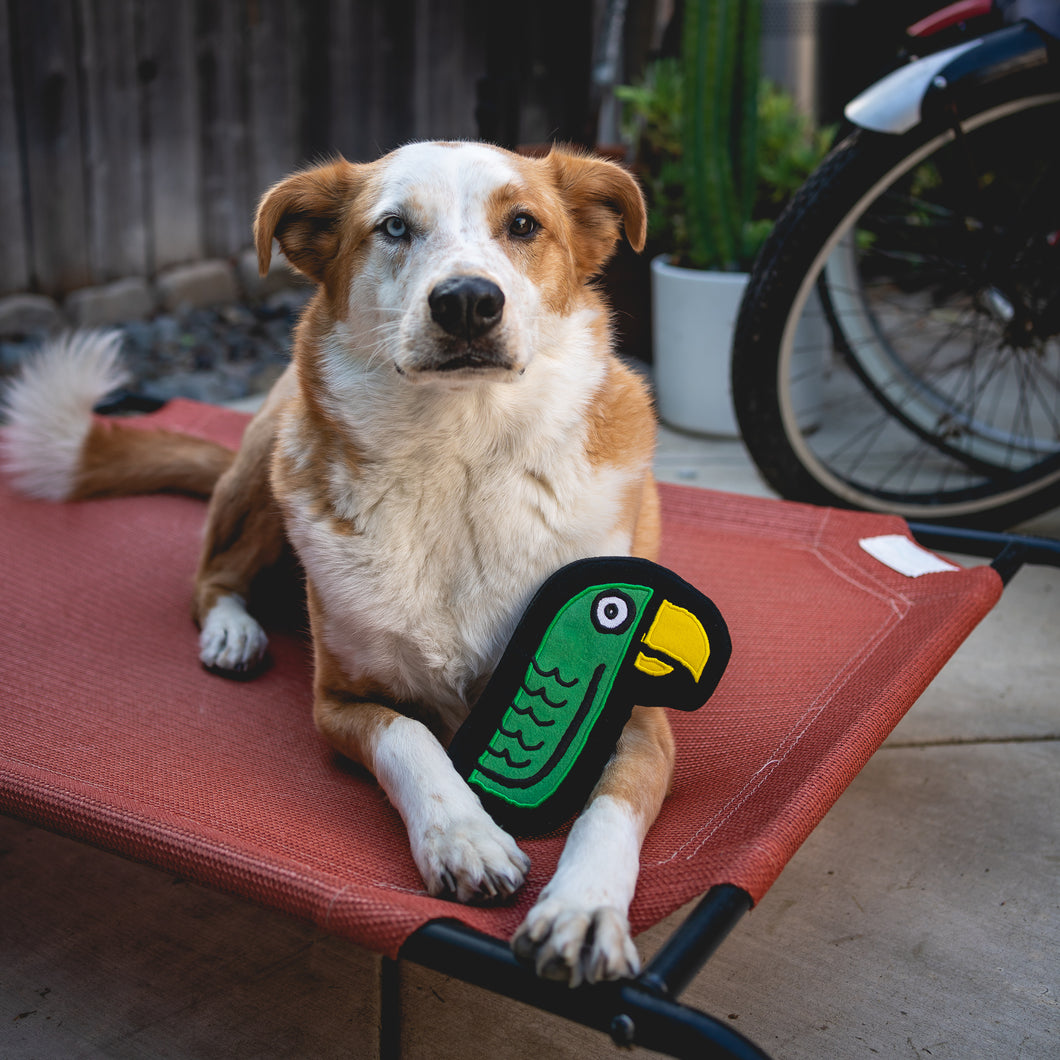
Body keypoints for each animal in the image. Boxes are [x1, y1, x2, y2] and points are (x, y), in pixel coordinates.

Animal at [4, 140, 674, 983]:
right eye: (393, 227)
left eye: (524, 224)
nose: (466, 302)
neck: (461, 455)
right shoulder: (342, 703)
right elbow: (413, 744)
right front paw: (464, 836)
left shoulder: (644, 719)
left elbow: (607, 810)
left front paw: (582, 909)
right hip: (272, 452)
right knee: (209, 578)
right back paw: (233, 631)